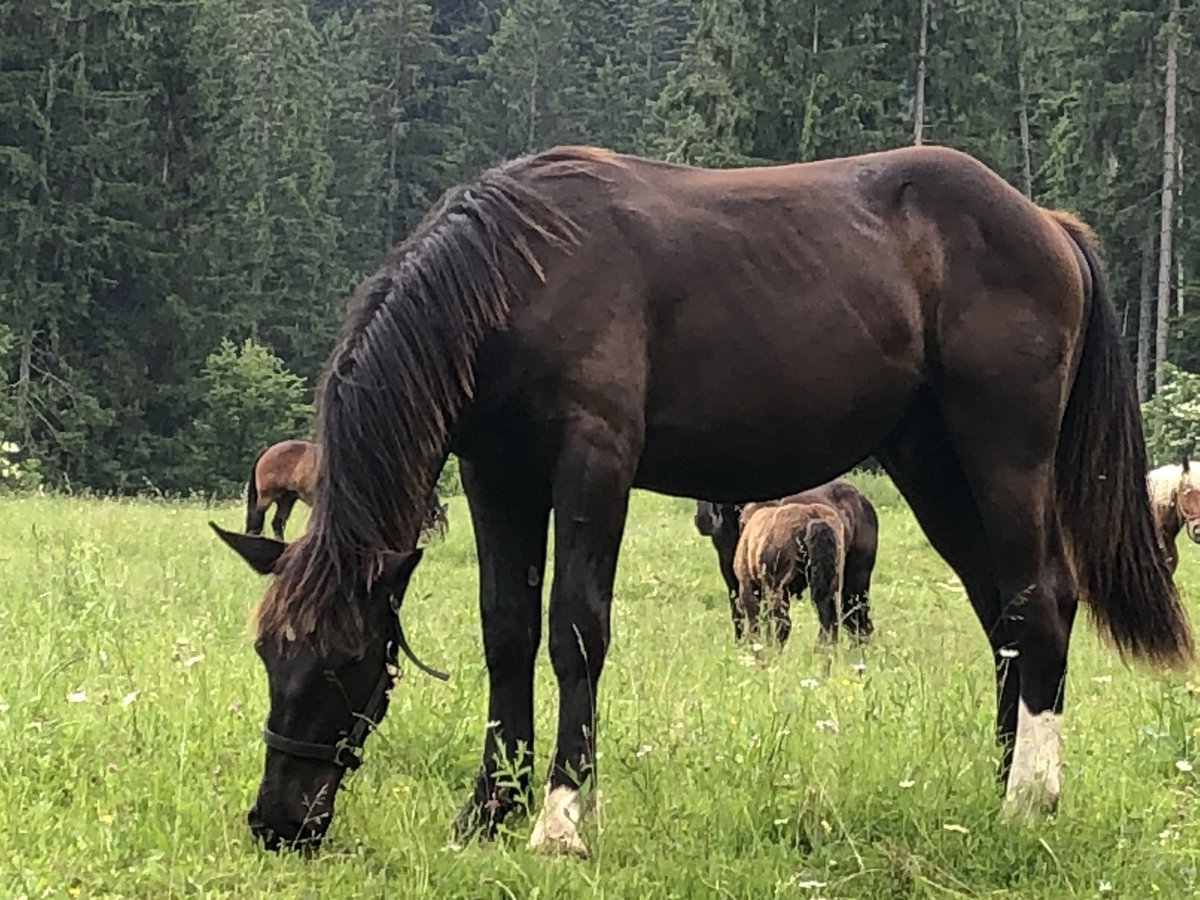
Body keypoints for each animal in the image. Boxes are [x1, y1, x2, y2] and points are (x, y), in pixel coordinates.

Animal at [243, 436, 451, 542]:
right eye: (437, 524)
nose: (440, 543)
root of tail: (269, 450)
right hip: (267, 497)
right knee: (257, 518)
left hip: (287, 498)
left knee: (277, 523)